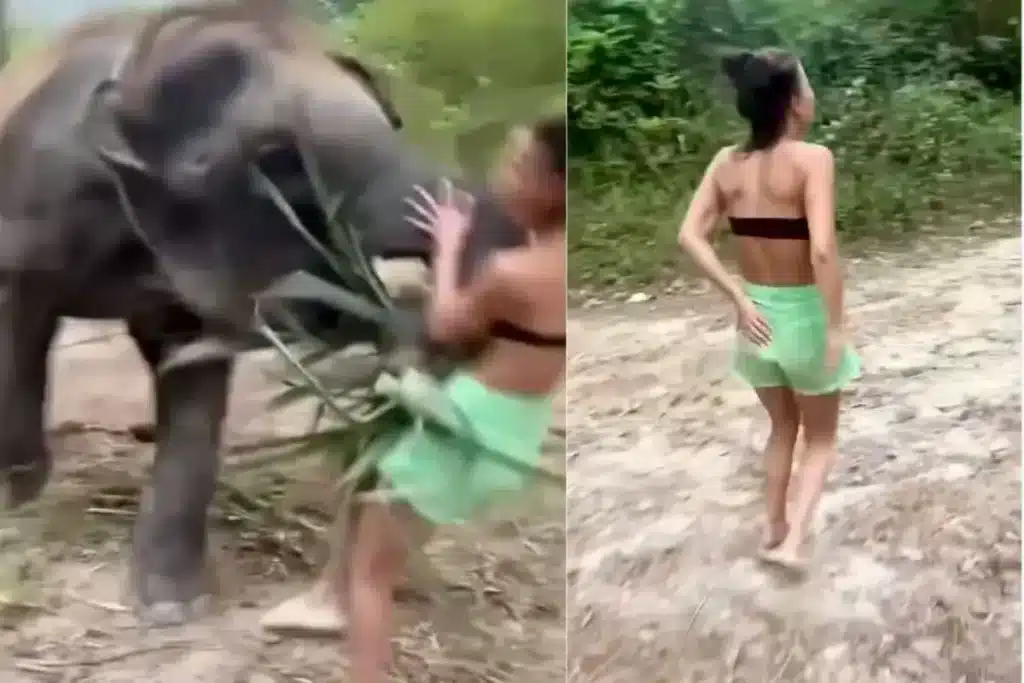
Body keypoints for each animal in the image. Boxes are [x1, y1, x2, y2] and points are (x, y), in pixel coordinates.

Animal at [0, 0, 525, 625]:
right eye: (279, 162)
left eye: (391, 124)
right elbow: (17, 336)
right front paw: (18, 498)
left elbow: (192, 381)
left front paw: (171, 606)